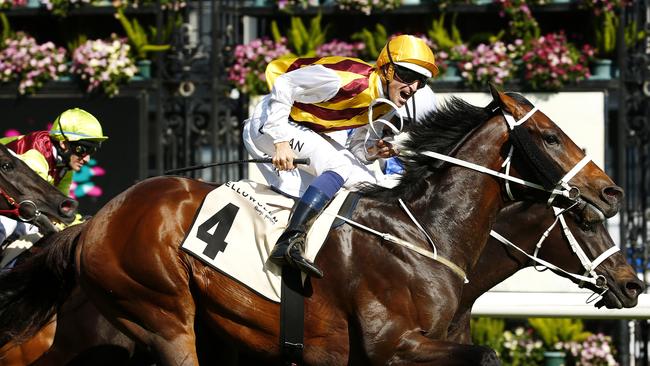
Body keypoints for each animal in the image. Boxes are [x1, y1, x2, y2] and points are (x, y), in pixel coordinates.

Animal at [0, 85, 624, 364]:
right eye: (549, 137)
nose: (611, 192)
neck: (424, 236)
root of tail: (97, 219)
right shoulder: (391, 346)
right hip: (162, 315)